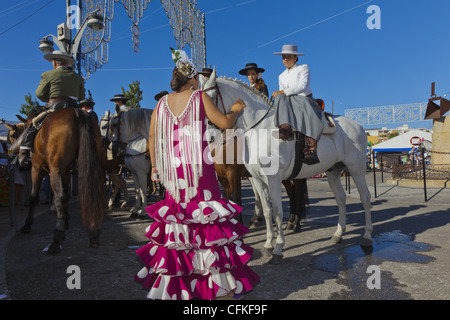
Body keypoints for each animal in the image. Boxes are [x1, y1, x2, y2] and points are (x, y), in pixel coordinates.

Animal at [11, 108, 105, 255]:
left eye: (26, 128)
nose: (19, 157)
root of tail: (78, 113)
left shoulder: (37, 169)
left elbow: (34, 197)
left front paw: (27, 224)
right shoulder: (65, 173)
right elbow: (66, 197)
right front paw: (66, 220)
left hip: (54, 170)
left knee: (59, 197)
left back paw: (56, 239)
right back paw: (94, 233)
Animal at [200, 70, 372, 264]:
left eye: (210, 99)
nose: (209, 137)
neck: (260, 130)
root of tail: (358, 126)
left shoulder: (270, 179)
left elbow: (277, 212)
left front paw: (279, 247)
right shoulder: (257, 180)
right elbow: (267, 211)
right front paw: (268, 244)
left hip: (356, 168)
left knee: (365, 198)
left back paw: (367, 237)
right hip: (333, 171)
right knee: (341, 199)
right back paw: (338, 233)